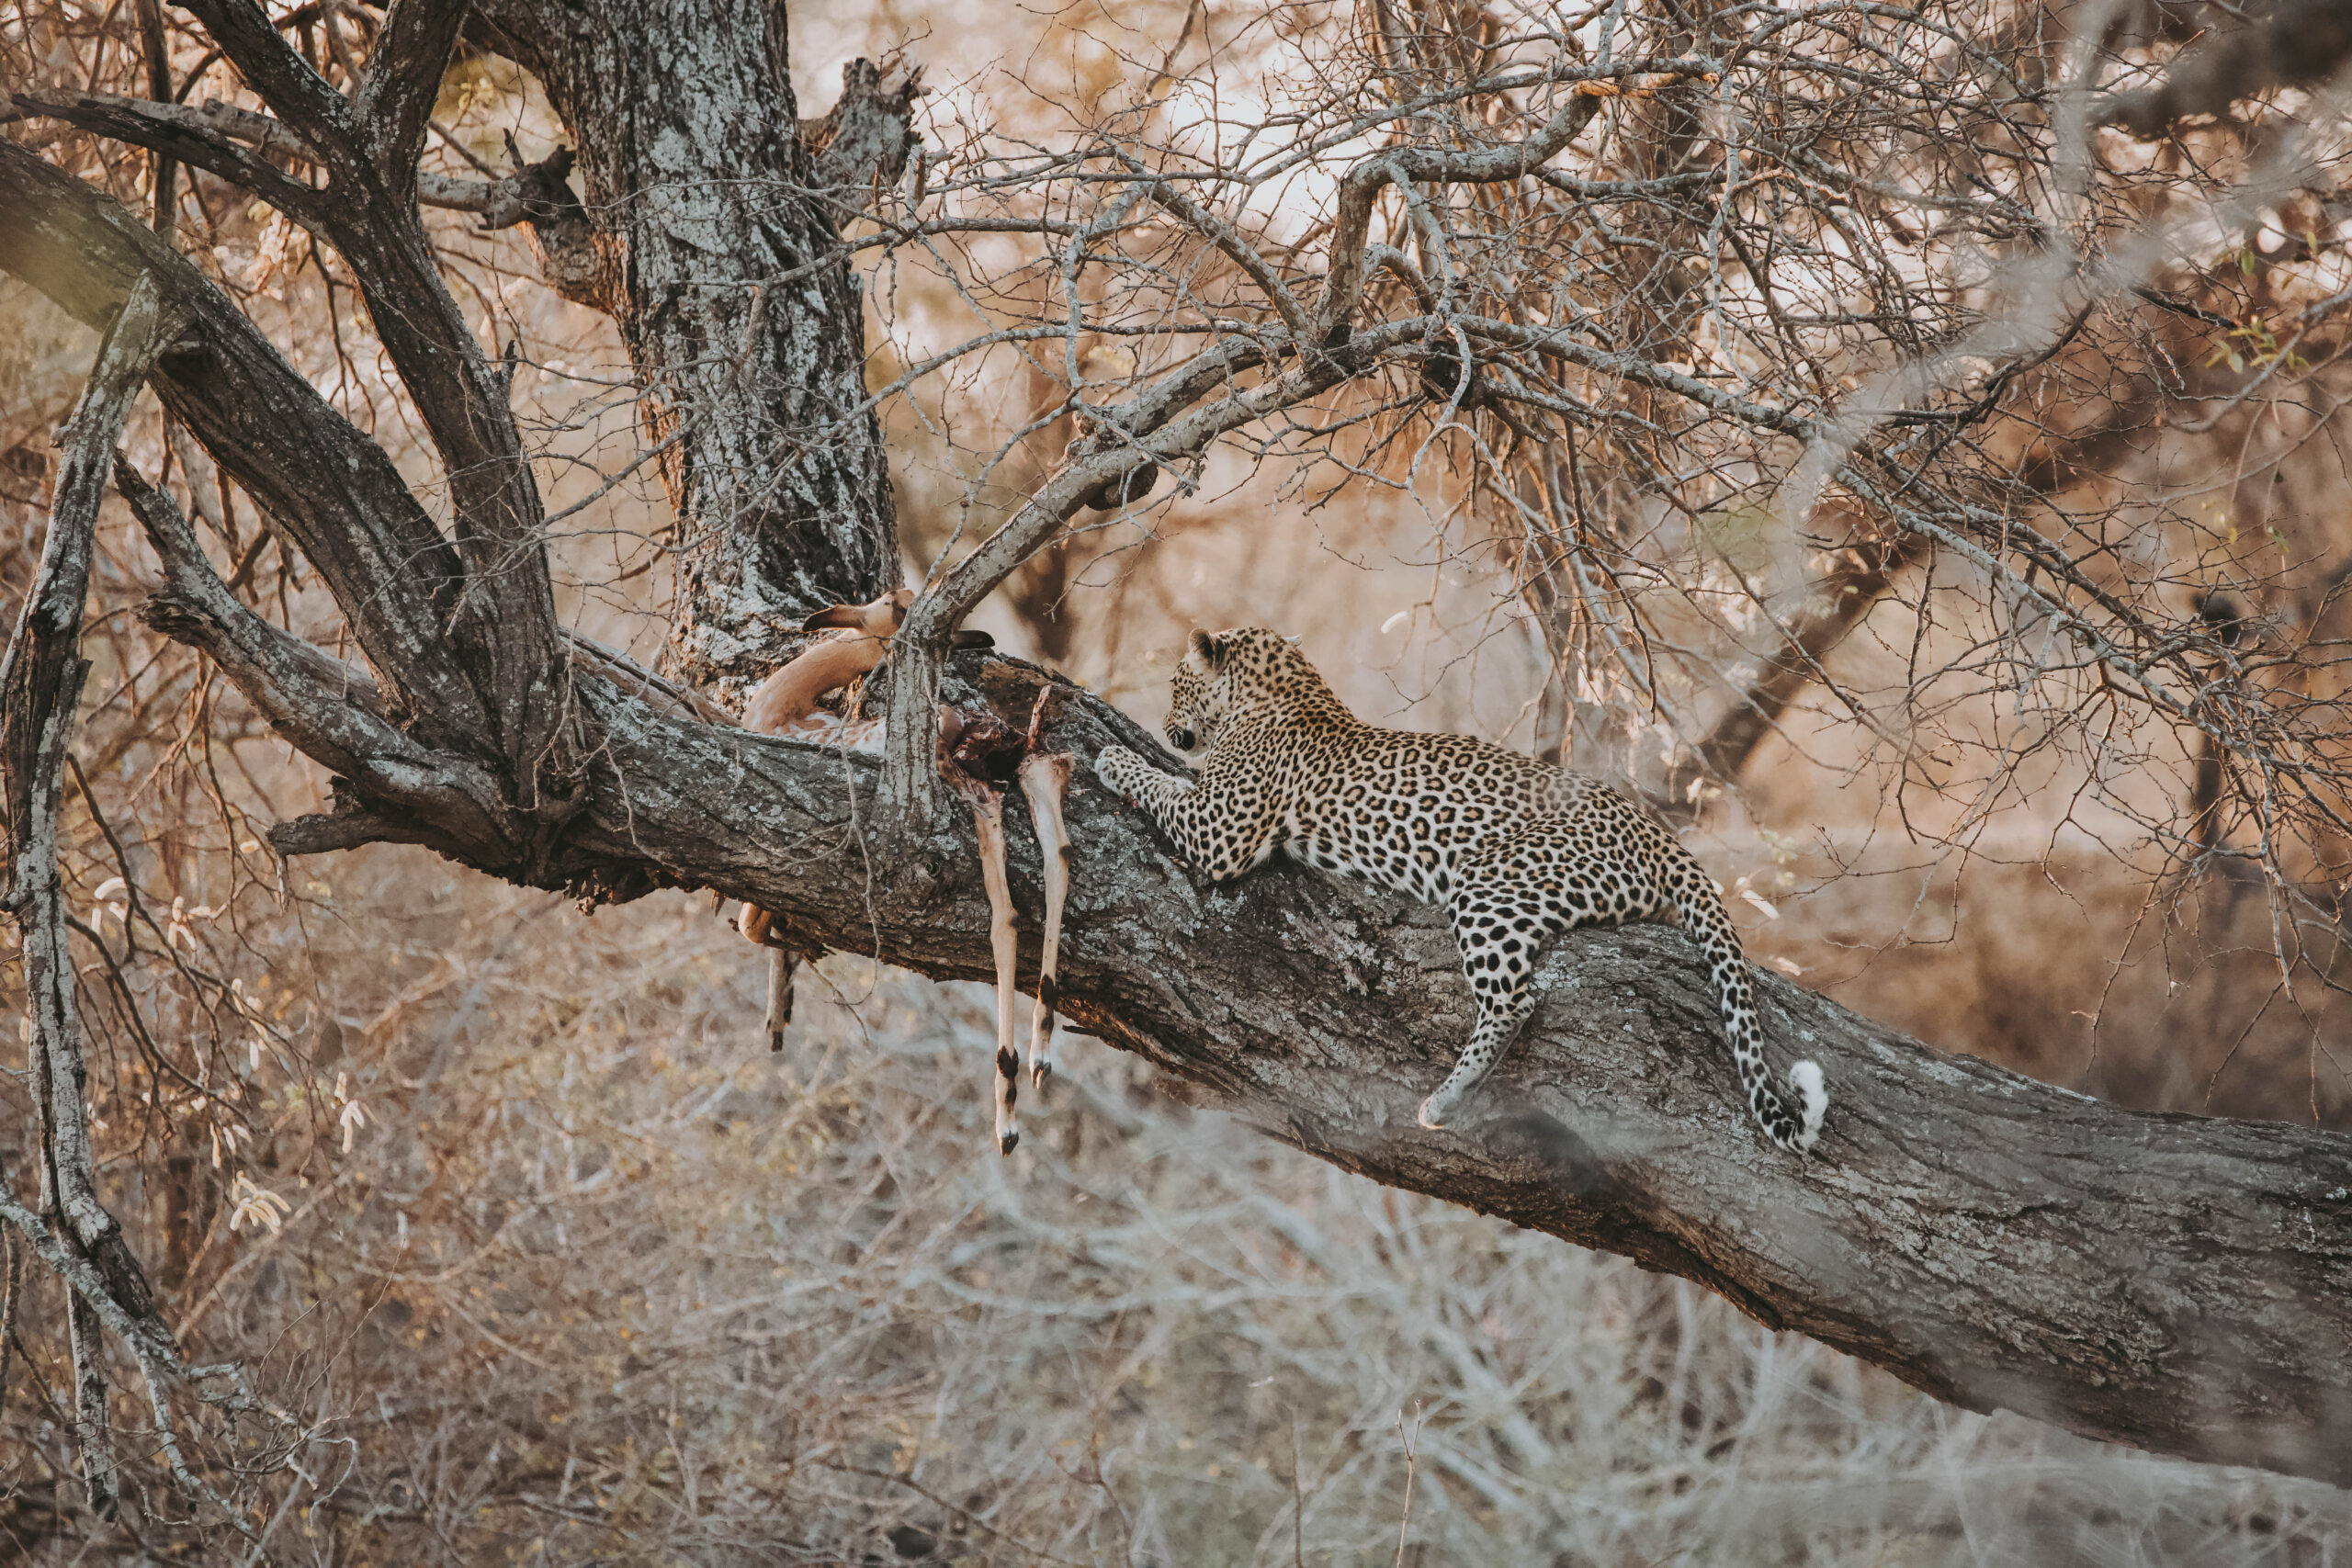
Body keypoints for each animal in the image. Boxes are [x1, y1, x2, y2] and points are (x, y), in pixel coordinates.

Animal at [1093, 627, 1827, 1151]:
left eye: (1175, 680)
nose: (1166, 725)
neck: (1281, 687)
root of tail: (1655, 831)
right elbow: (1170, 782)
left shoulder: (1218, 830)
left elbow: (1161, 784)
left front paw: (1111, 755)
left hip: (1489, 885)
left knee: (1514, 1001)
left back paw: (1444, 1099)